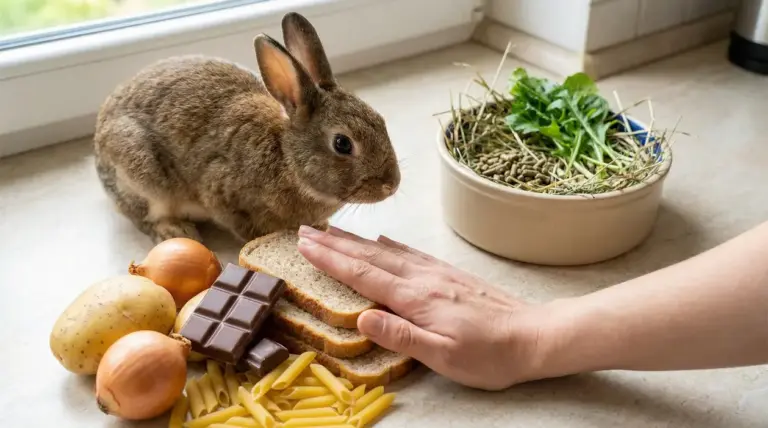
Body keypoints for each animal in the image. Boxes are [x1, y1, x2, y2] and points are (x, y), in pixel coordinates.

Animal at [93, 12, 400, 244]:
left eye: (380, 120)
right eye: (342, 143)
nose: (392, 184)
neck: (286, 158)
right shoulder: (221, 194)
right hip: (142, 175)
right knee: (144, 216)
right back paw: (176, 230)